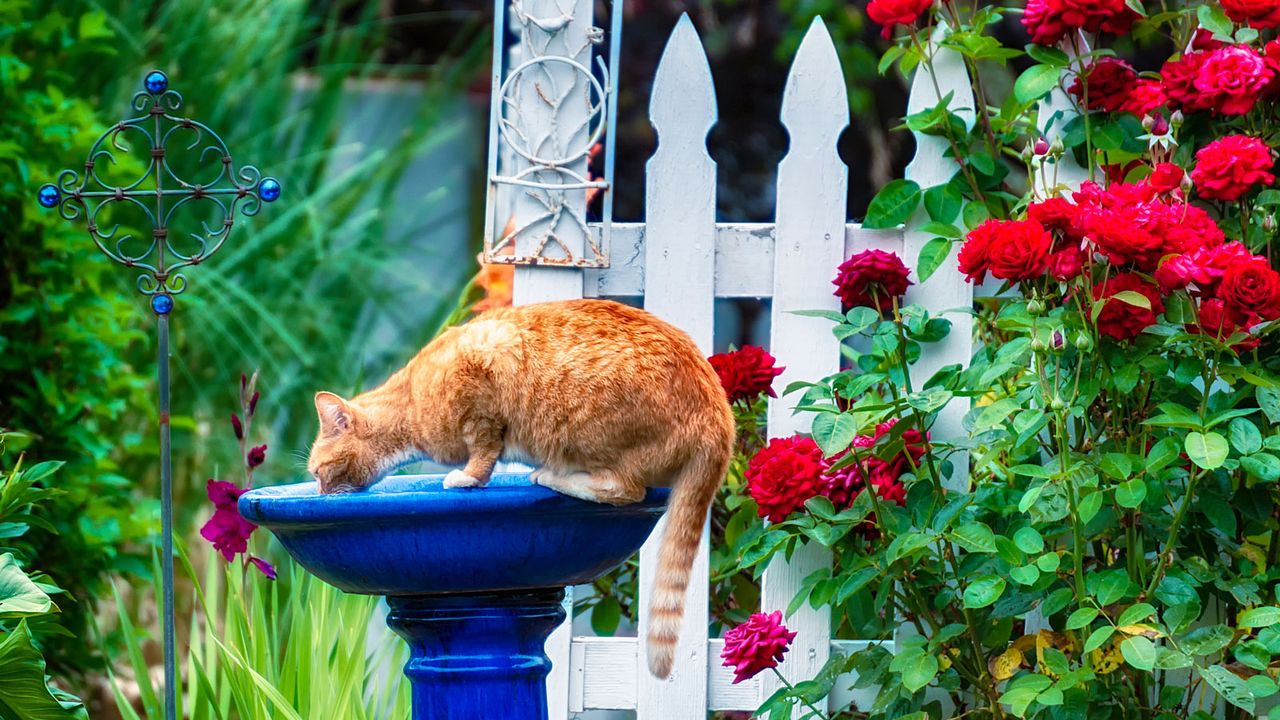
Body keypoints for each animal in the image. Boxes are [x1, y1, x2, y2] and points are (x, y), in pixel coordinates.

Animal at [303, 297, 737, 676]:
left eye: (319, 472)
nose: (320, 495)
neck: (410, 403)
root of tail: (718, 415)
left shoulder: (480, 389)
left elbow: (482, 454)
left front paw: (466, 478)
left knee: (625, 489)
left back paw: (552, 475)